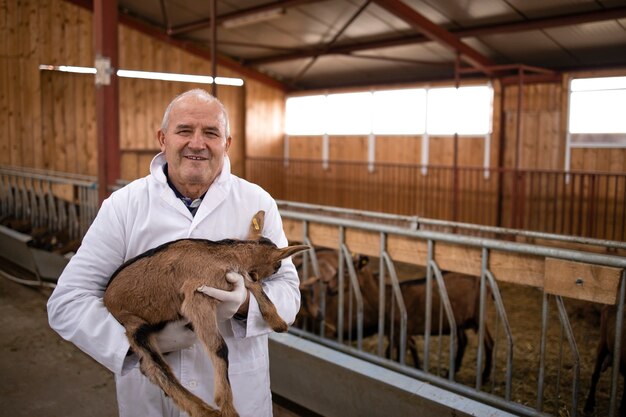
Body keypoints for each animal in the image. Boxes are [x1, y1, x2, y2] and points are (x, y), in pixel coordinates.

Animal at [105, 211, 310, 416]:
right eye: (277, 265)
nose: (278, 269)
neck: (224, 253)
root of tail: (107, 299)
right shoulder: (197, 295)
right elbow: (220, 347)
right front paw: (227, 407)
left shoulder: (235, 278)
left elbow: (253, 285)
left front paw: (278, 322)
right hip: (135, 325)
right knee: (153, 367)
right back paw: (205, 411)